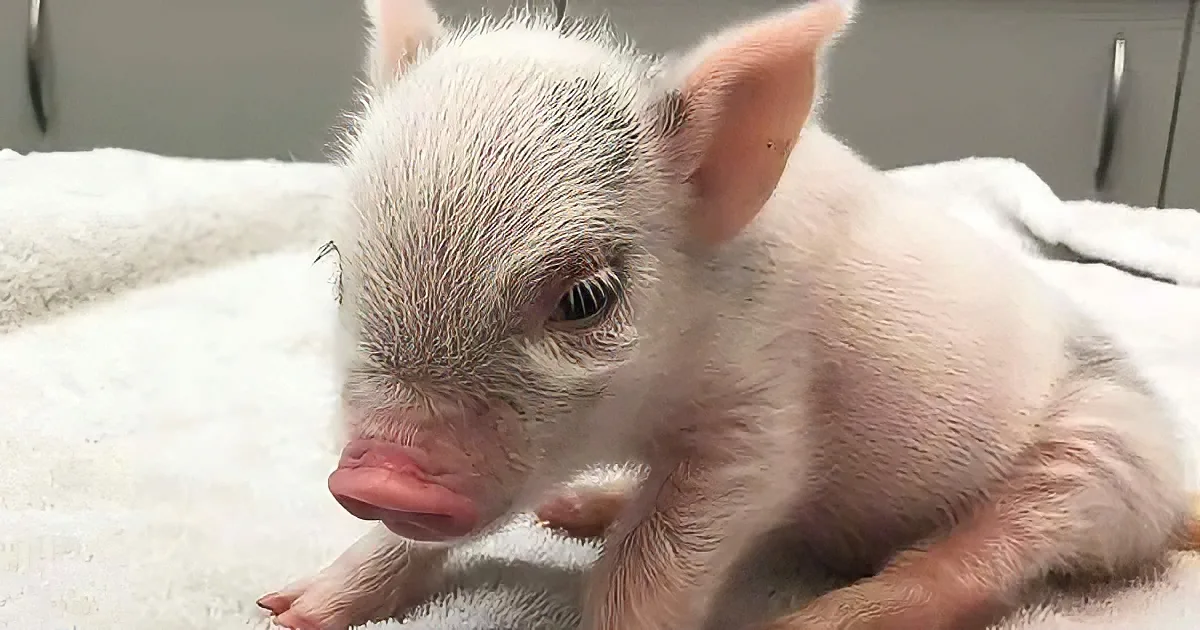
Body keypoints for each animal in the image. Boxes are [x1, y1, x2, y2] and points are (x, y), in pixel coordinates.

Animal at [258, 0, 1198, 629]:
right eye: (339, 272)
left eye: (587, 297)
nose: (377, 473)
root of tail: (1172, 500)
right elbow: (404, 543)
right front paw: (287, 610)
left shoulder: (763, 420)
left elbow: (658, 558)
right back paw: (574, 511)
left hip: (1095, 462)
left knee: (974, 565)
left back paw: (808, 621)